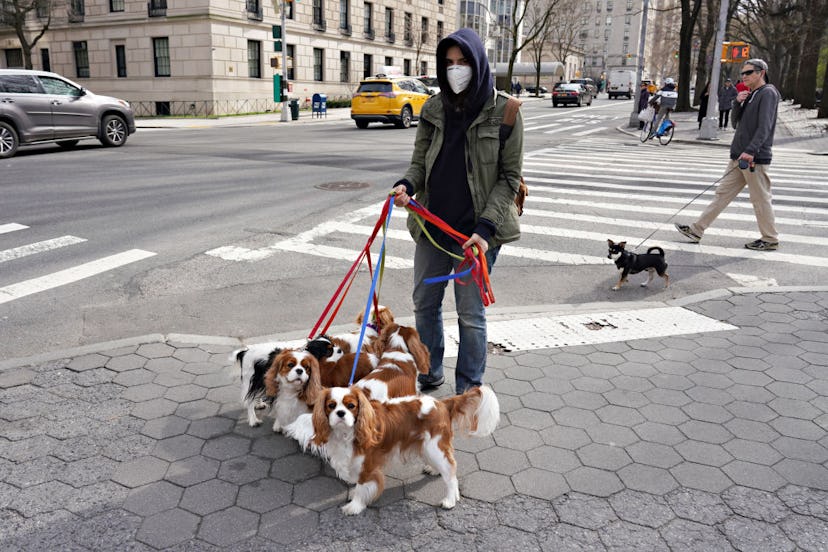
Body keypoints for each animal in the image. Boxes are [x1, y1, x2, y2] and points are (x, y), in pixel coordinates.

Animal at [302, 386, 498, 516]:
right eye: (331, 405)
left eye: (351, 406)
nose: (340, 413)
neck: (346, 433)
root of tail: (442, 403)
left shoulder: (368, 465)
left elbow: (361, 487)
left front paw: (354, 506)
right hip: (427, 447)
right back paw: (434, 470)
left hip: (434, 447)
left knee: (450, 472)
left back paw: (450, 499)